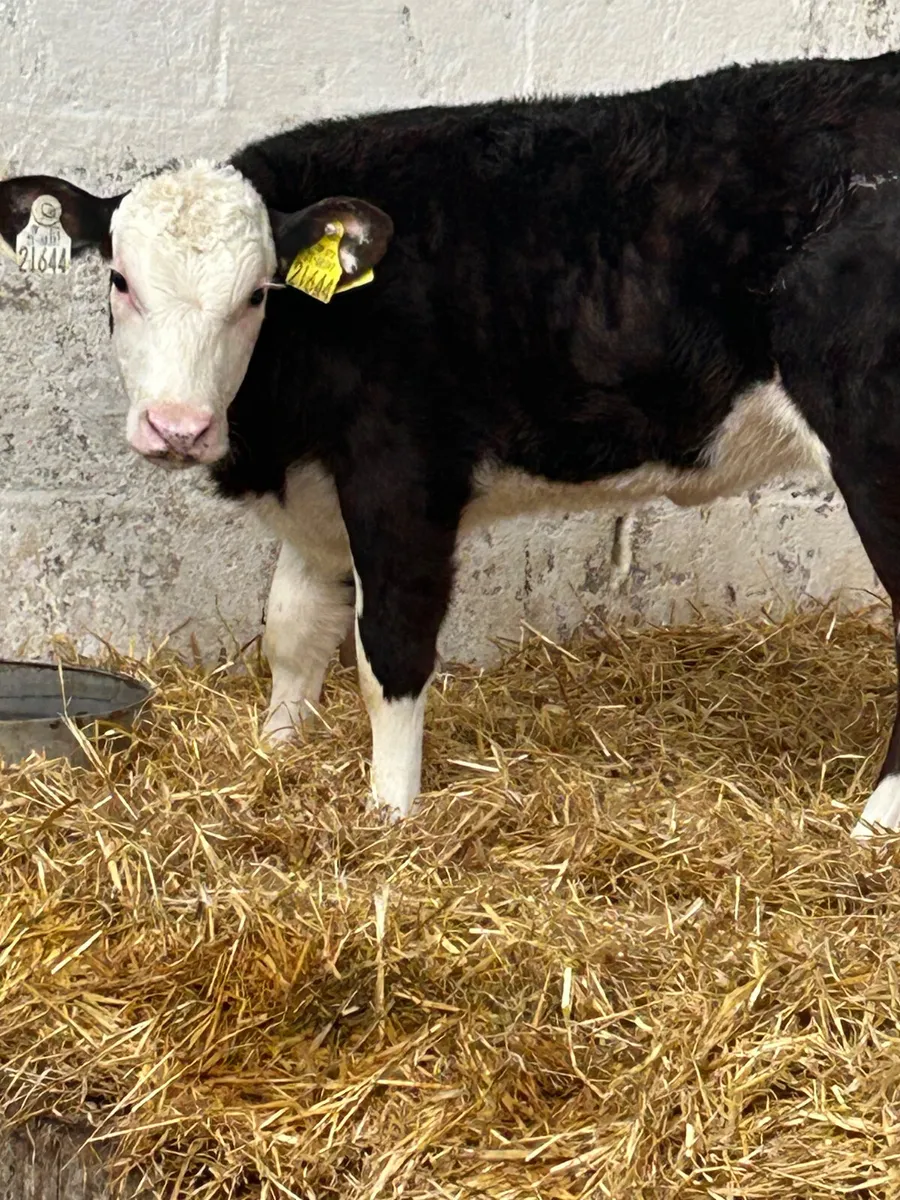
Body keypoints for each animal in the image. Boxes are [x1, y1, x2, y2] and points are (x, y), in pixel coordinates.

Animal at [2, 50, 900, 835]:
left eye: (257, 293)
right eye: (121, 280)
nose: (176, 427)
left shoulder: (402, 478)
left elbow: (390, 651)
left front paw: (390, 812)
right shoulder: (318, 496)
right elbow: (292, 631)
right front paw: (274, 755)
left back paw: (873, 829)